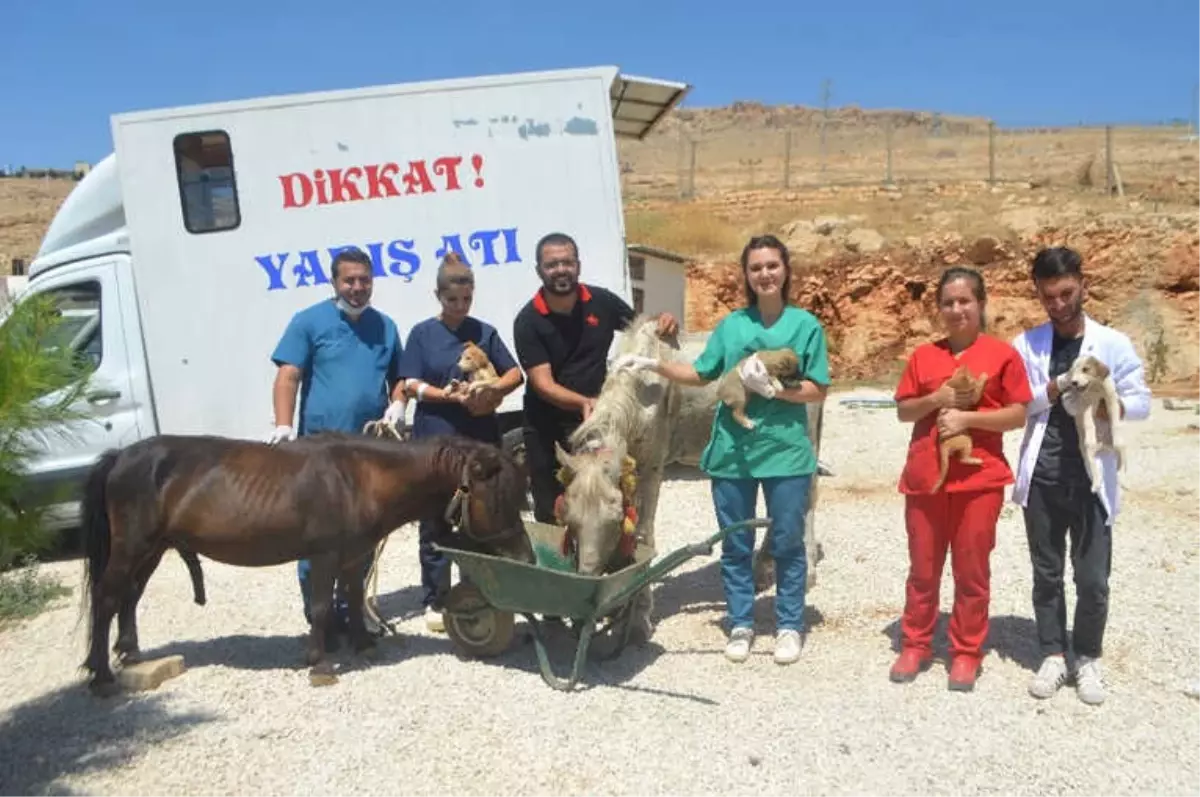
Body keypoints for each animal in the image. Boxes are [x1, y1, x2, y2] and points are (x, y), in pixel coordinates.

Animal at [82, 432, 532, 696]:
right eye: (499, 499)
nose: (525, 557)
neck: (359, 478)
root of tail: (121, 456)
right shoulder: (324, 554)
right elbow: (320, 607)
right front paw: (320, 664)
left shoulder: (353, 555)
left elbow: (352, 596)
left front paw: (364, 645)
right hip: (133, 545)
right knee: (107, 598)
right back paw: (101, 675)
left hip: (153, 548)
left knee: (129, 596)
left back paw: (131, 654)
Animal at [931, 364, 988, 492]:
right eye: (972, 377)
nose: (975, 377)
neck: (953, 386)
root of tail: (943, 446)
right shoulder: (973, 397)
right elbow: (978, 389)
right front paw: (983, 377)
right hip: (967, 441)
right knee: (963, 459)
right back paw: (977, 460)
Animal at [1060, 355, 1123, 492]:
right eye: (1073, 370)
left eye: (1085, 369)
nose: (1073, 382)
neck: (1095, 387)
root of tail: (1101, 445)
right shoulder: (1085, 405)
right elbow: (1089, 422)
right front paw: (1091, 432)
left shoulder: (1111, 399)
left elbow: (1115, 421)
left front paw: (1117, 434)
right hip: (1087, 452)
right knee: (1092, 466)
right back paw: (1096, 483)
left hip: (1110, 446)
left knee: (1118, 451)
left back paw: (1120, 462)